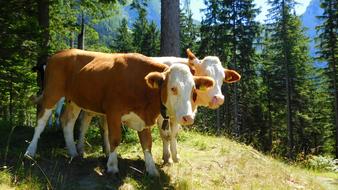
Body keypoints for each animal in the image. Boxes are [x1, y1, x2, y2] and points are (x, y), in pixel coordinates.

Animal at [25, 49, 214, 177]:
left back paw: (73, 152)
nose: (188, 117)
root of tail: (60, 53)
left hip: (75, 99)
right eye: (173, 88)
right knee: (41, 121)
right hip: (52, 92)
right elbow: (115, 139)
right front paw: (112, 166)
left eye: (194, 91)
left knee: (67, 121)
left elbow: (147, 144)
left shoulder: (144, 118)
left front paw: (151, 169)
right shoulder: (113, 113)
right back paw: (30, 151)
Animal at [76, 49, 240, 164]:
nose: (219, 99)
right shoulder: (162, 114)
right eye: (206, 74)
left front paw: (175, 156)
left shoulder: (177, 116)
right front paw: (167, 157)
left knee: (104, 125)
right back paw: (80, 150)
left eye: (222, 78)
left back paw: (106, 151)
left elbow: (174, 134)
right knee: (84, 122)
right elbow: (165, 135)